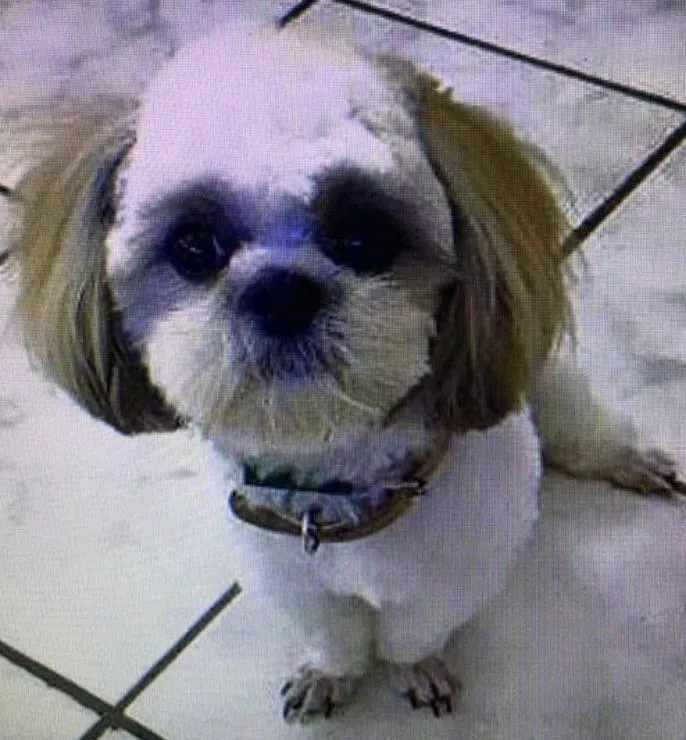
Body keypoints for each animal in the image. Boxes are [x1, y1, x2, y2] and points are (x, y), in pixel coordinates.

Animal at [3, 22, 683, 722]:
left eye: (364, 236)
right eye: (194, 246)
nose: (280, 291)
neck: (338, 494)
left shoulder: (454, 574)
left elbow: (412, 632)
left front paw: (415, 667)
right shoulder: (289, 579)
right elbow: (334, 636)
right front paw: (330, 674)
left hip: (541, 385)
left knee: (578, 422)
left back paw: (622, 456)